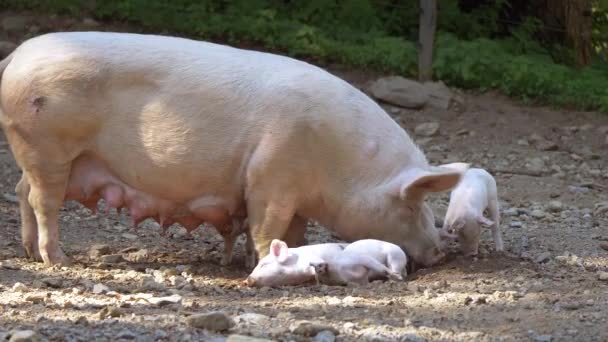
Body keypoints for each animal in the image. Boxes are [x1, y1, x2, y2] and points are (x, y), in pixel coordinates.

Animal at [0, 31, 466, 268]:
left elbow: (293, 231)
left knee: (22, 192)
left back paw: (28, 253)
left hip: (37, 155)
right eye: (412, 206)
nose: (442, 251)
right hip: (47, 146)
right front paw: (260, 262)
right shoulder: (271, 177)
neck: (340, 165)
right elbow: (267, 226)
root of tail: (17, 57)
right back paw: (57, 259)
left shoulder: (294, 195)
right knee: (44, 202)